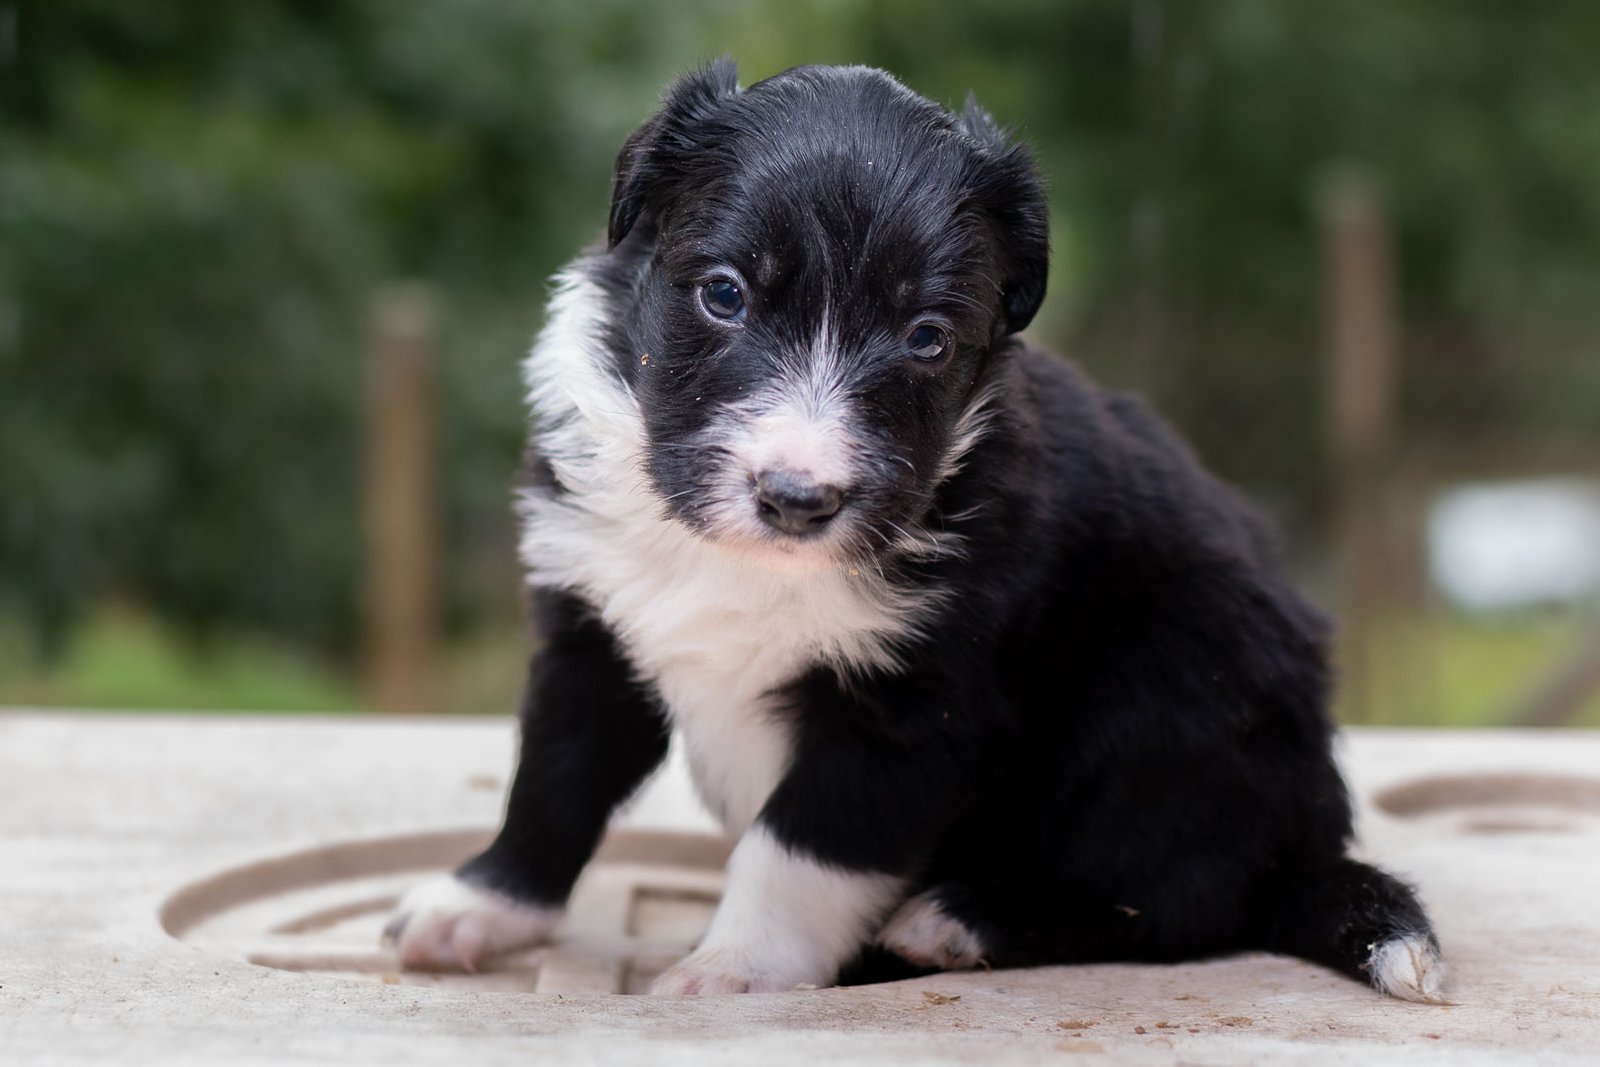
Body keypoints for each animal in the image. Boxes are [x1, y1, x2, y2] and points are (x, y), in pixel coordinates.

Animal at [382, 60, 1444, 1000]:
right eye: (724, 293)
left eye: (926, 337)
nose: (798, 497)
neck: (752, 565)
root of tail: (1305, 840)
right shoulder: (592, 628)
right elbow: (553, 781)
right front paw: (479, 904)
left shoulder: (913, 707)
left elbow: (796, 848)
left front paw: (735, 969)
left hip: (1178, 689)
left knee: (1182, 894)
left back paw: (956, 920)